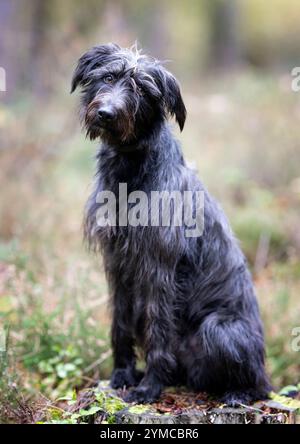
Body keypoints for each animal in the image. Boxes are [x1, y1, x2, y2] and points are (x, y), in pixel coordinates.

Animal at [71, 42, 270, 406]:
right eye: (109, 77)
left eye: (141, 89)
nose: (106, 113)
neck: (130, 171)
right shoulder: (117, 265)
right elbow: (119, 325)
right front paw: (121, 376)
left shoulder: (158, 269)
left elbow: (158, 330)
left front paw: (149, 387)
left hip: (218, 329)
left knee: (260, 384)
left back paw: (238, 393)